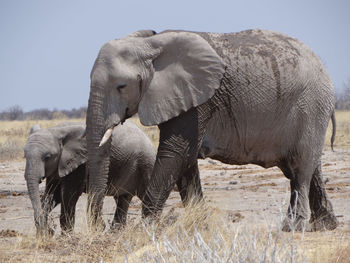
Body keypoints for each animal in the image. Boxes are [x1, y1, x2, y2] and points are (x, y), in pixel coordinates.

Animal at [23, 120, 155, 236]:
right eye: (25, 155)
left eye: (47, 157)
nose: (50, 230)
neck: (56, 130)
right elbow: (52, 195)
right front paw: (44, 235)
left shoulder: (81, 163)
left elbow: (69, 194)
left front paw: (66, 237)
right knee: (123, 198)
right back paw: (115, 232)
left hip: (146, 164)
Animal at [86, 28, 338, 231]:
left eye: (121, 86)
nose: (101, 227)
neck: (151, 44)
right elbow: (186, 161)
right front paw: (199, 225)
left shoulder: (196, 102)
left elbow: (175, 153)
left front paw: (147, 228)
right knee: (311, 167)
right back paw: (325, 225)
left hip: (310, 106)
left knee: (300, 169)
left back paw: (292, 227)